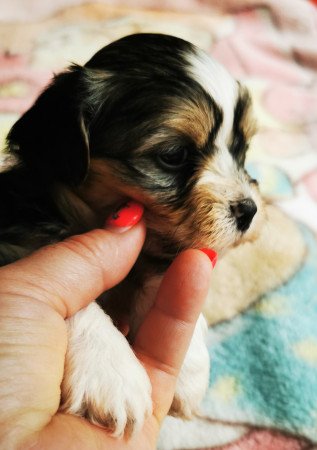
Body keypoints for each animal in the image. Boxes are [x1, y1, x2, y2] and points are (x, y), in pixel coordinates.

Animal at [0, 34, 262, 436]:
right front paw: (110, 374)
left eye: (242, 149)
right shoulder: (17, 240)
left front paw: (188, 370)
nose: (249, 210)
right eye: (174, 154)